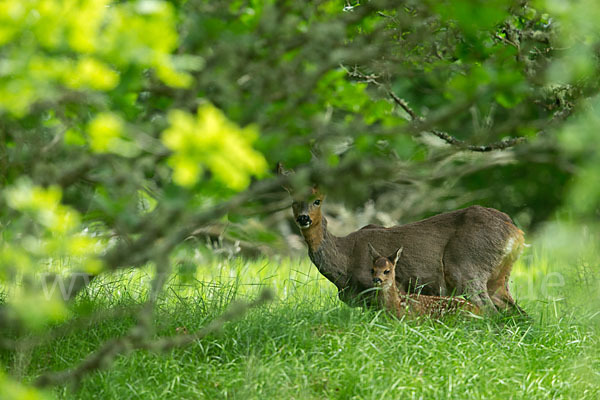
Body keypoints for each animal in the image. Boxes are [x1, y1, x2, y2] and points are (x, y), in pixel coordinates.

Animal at [278, 164, 524, 314]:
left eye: (317, 201)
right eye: (293, 201)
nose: (303, 218)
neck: (344, 260)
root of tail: (515, 231)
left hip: (466, 269)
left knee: (490, 312)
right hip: (499, 279)